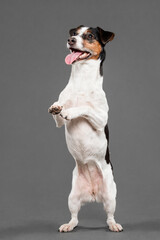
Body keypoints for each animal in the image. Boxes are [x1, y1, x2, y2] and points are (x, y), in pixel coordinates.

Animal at [48, 24, 123, 232]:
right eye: (74, 34)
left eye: (89, 36)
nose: (70, 40)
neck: (81, 79)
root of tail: (93, 194)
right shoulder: (58, 123)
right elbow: (59, 109)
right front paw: (57, 107)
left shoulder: (100, 118)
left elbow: (84, 108)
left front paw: (71, 112)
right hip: (72, 197)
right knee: (75, 217)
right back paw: (68, 225)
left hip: (111, 194)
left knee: (109, 215)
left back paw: (114, 225)